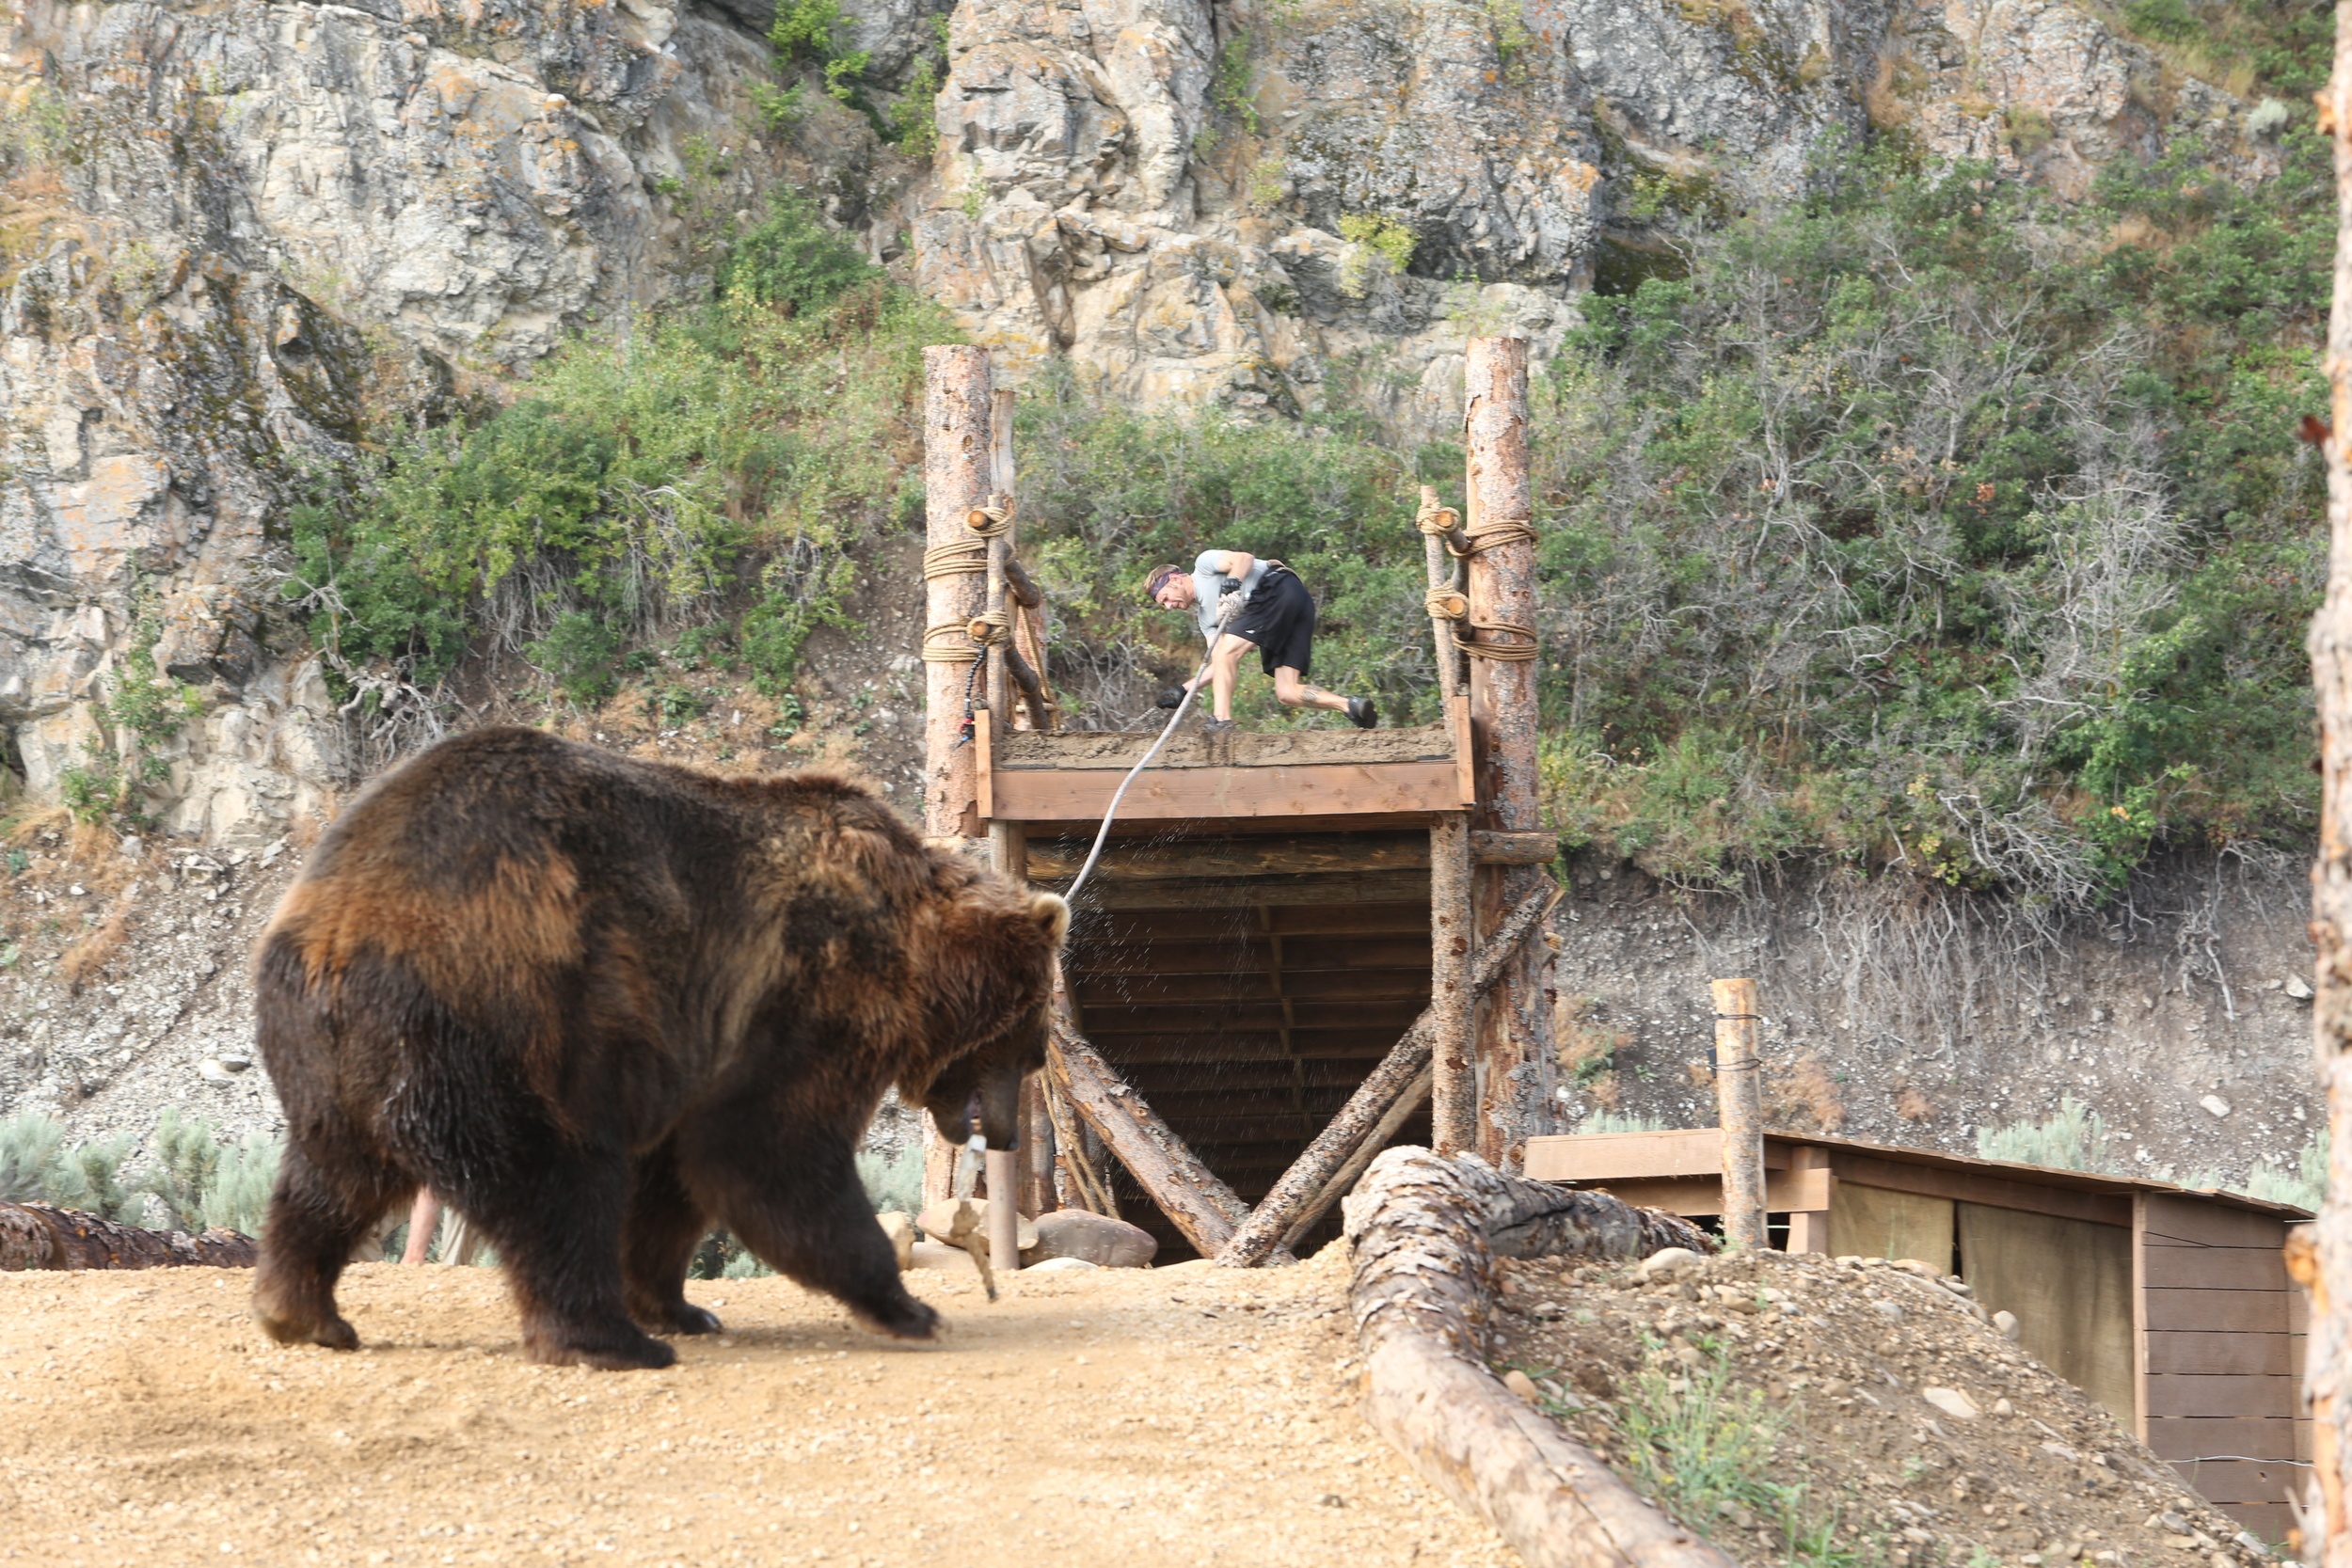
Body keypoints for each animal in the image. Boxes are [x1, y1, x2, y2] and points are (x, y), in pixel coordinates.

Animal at [248, 726, 1066, 1370]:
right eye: (1031, 1045)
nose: (1004, 1132)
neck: (908, 952)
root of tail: (340, 927)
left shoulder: (695, 1057)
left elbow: (675, 1184)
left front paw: (682, 1304)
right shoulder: (800, 999)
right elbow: (769, 1154)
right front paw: (910, 1306)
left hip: (337, 1056)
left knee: (329, 1177)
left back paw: (303, 1313)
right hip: (506, 1023)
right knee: (555, 1182)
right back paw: (608, 1340)